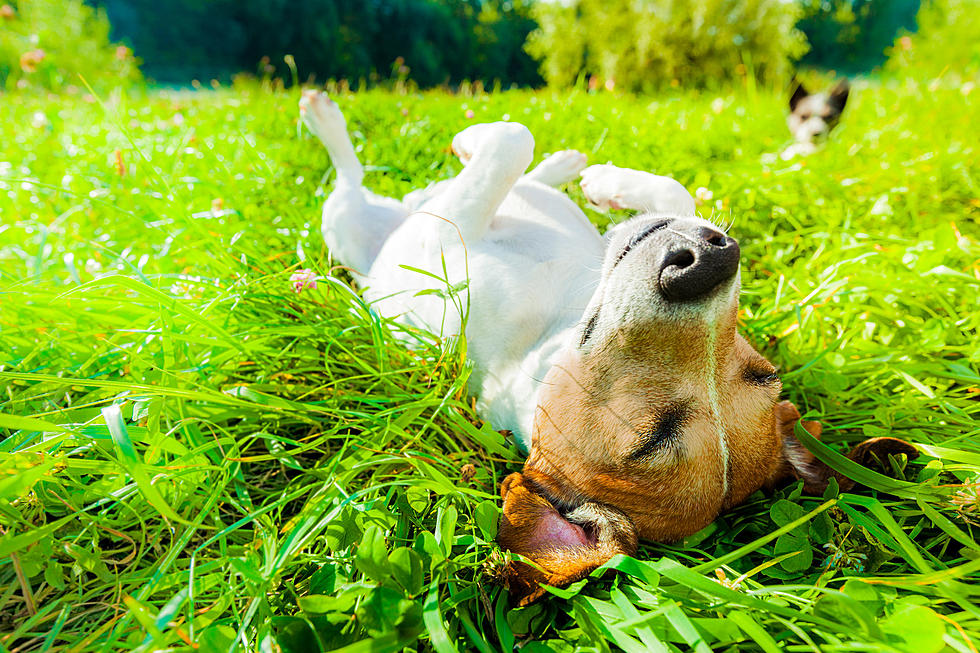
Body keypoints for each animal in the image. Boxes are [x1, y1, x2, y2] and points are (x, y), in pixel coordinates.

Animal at [296, 89, 912, 604]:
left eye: (650, 439)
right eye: (764, 373)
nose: (708, 263)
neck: (557, 323)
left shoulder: (444, 247)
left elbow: (509, 142)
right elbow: (662, 189)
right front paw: (606, 185)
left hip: (346, 226)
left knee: (350, 185)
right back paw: (562, 166)